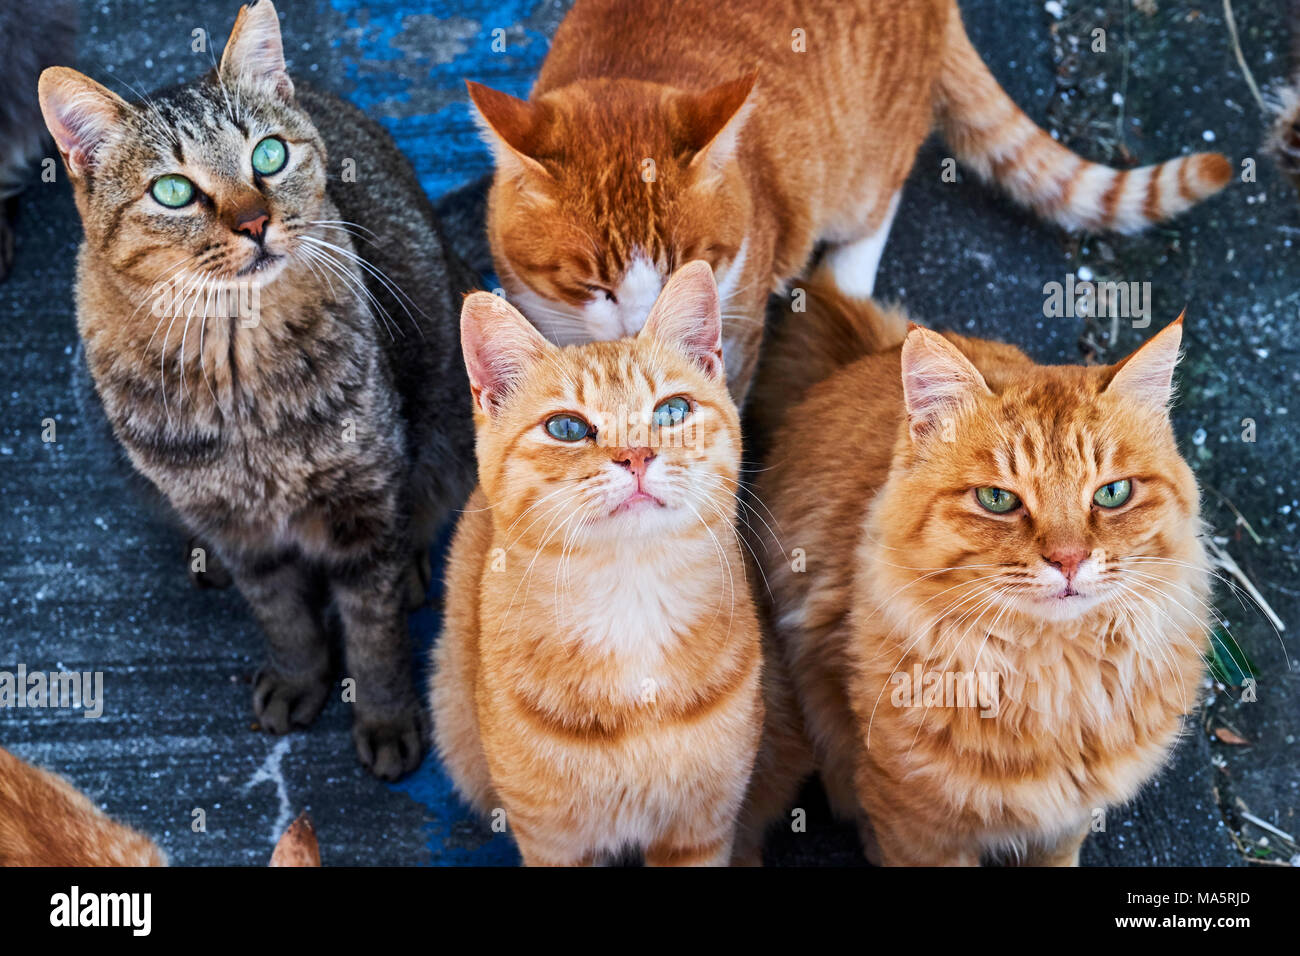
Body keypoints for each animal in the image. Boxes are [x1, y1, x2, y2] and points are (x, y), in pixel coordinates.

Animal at [35, 0, 478, 780]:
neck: (239, 377)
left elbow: (374, 635)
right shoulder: (242, 531)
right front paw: (301, 679)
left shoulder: (365, 503)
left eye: (268, 156)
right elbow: (284, 618)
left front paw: (387, 716)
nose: (254, 221)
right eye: (173, 191)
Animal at [431, 261, 764, 868]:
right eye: (565, 427)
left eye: (672, 411)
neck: (629, 601)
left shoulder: (699, 829)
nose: (636, 455)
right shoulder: (553, 842)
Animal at [467, 0, 1227, 400]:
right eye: (593, 287)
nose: (642, 335)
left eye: (690, 270)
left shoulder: (736, 331)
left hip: (862, 167)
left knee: (880, 197)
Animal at [748, 270, 1211, 868]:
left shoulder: (1064, 827)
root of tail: (861, 356)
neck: (1052, 680)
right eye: (997, 499)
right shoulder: (918, 828)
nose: (1069, 560)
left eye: (1112, 494)